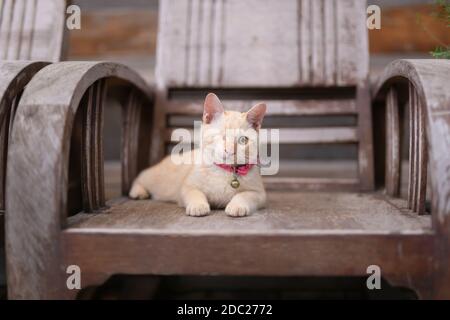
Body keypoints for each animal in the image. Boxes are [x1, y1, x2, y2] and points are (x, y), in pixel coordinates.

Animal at [128, 92, 266, 218]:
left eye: (243, 140)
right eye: (221, 136)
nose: (230, 150)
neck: (224, 172)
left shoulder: (259, 193)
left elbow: (245, 195)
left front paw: (237, 205)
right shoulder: (186, 187)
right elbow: (194, 193)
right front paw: (198, 206)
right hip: (156, 177)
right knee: (141, 176)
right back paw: (138, 191)